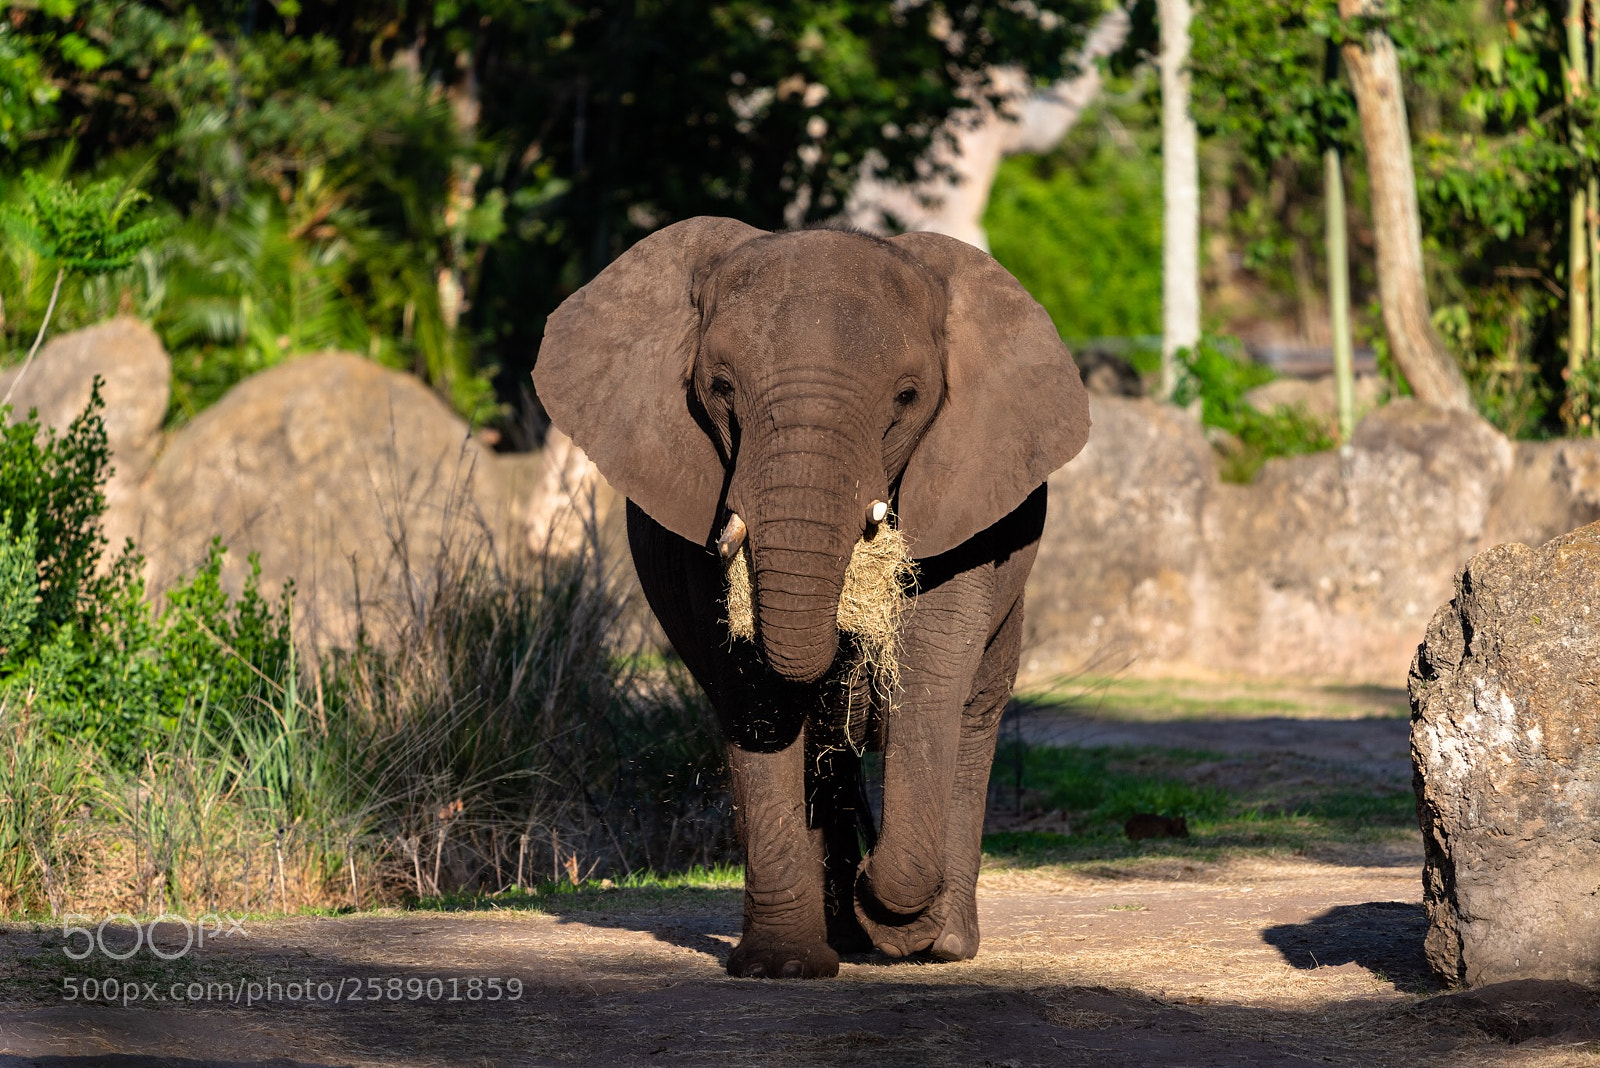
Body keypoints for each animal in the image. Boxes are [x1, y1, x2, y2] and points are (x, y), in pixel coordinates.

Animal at [532, 217, 1089, 978]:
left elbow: (929, 662)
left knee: (971, 715)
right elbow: (754, 694)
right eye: (720, 386)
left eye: (907, 397)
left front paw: (898, 926)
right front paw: (784, 966)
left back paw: (938, 943)